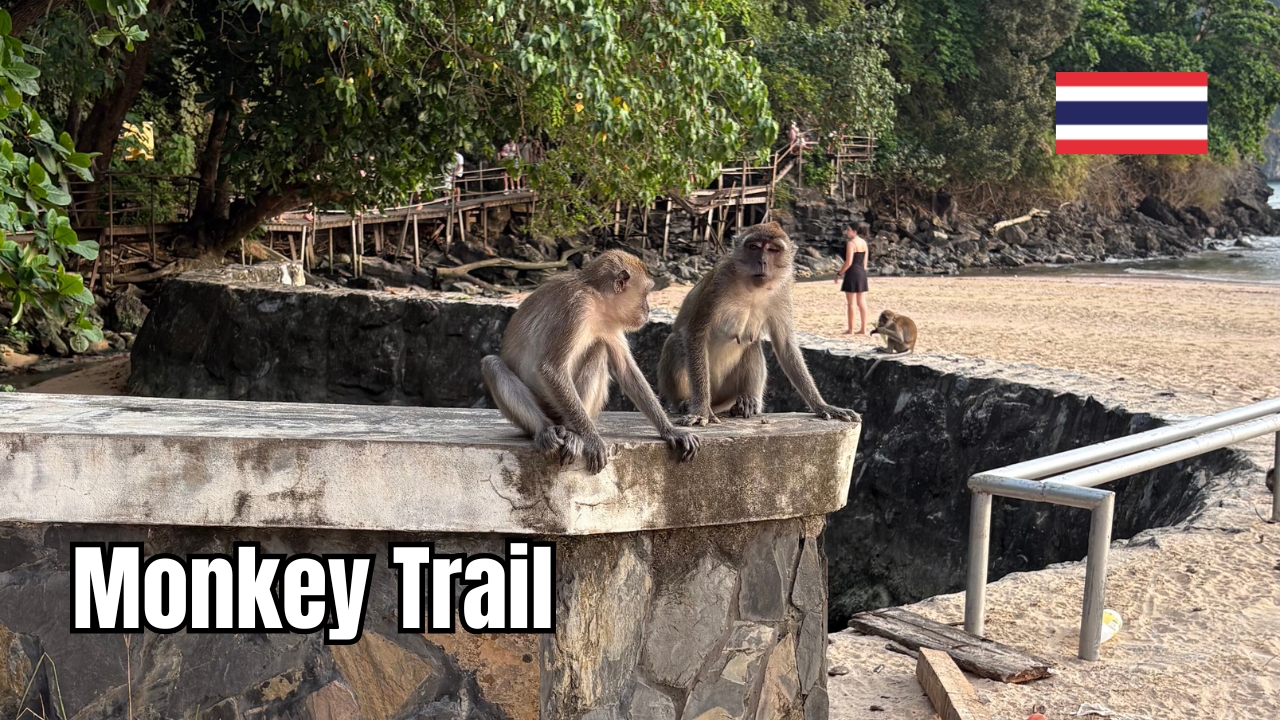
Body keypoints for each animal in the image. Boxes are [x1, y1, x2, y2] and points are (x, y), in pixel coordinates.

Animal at [481, 249, 700, 474]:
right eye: (646, 293)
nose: (648, 310)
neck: (597, 299)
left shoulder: (611, 322)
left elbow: (626, 370)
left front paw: (670, 430)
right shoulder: (577, 308)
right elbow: (552, 369)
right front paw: (592, 439)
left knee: (598, 350)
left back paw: (573, 434)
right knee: (492, 364)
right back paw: (546, 430)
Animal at [657, 222, 860, 426]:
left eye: (773, 249)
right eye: (754, 247)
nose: (762, 261)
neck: (752, 289)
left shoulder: (783, 293)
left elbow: (785, 346)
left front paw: (822, 405)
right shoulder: (717, 285)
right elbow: (696, 334)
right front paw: (700, 410)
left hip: (728, 393)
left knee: (752, 346)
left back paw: (746, 401)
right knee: (676, 341)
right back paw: (686, 402)